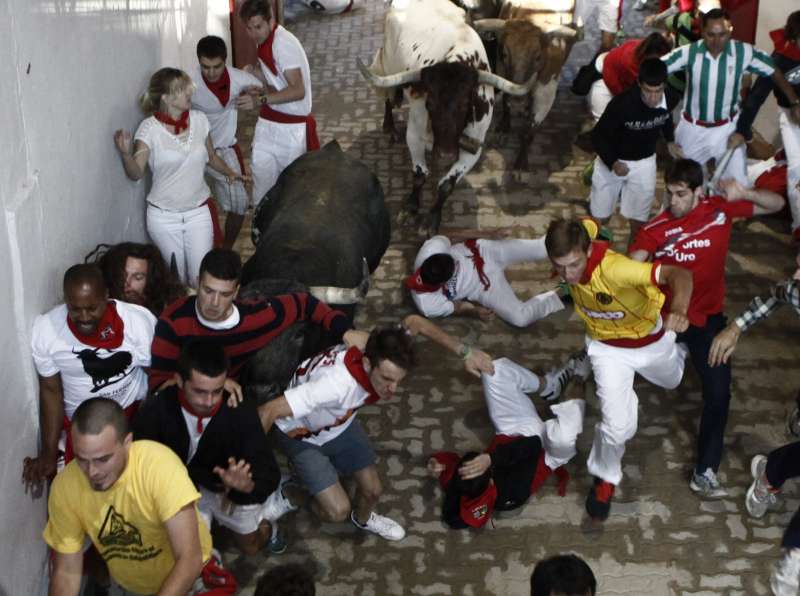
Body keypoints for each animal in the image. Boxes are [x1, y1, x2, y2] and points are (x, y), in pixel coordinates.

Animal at [358, 0, 536, 236]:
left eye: (465, 104)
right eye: (430, 104)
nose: (445, 155)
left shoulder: (474, 147)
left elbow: (446, 185)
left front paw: (431, 220)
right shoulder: (414, 134)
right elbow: (419, 174)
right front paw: (411, 207)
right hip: (388, 67)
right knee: (388, 95)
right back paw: (389, 127)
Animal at [472, 0, 580, 172]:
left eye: (538, 57)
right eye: (504, 54)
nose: (518, 102)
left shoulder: (546, 93)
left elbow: (529, 131)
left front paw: (520, 164)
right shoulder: (502, 72)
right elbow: (506, 102)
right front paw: (504, 128)